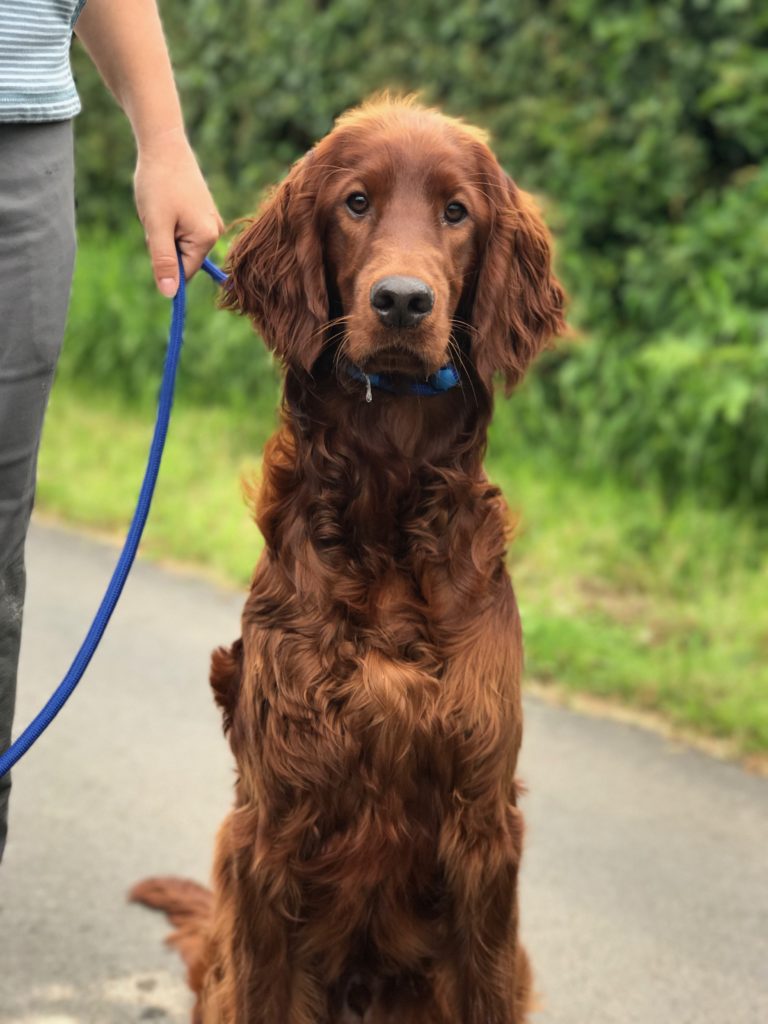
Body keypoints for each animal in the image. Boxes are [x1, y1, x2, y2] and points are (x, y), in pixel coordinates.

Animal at [131, 96, 565, 1024]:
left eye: (456, 212)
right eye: (356, 203)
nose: (401, 302)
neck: (388, 505)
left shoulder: (482, 829)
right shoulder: (276, 827)